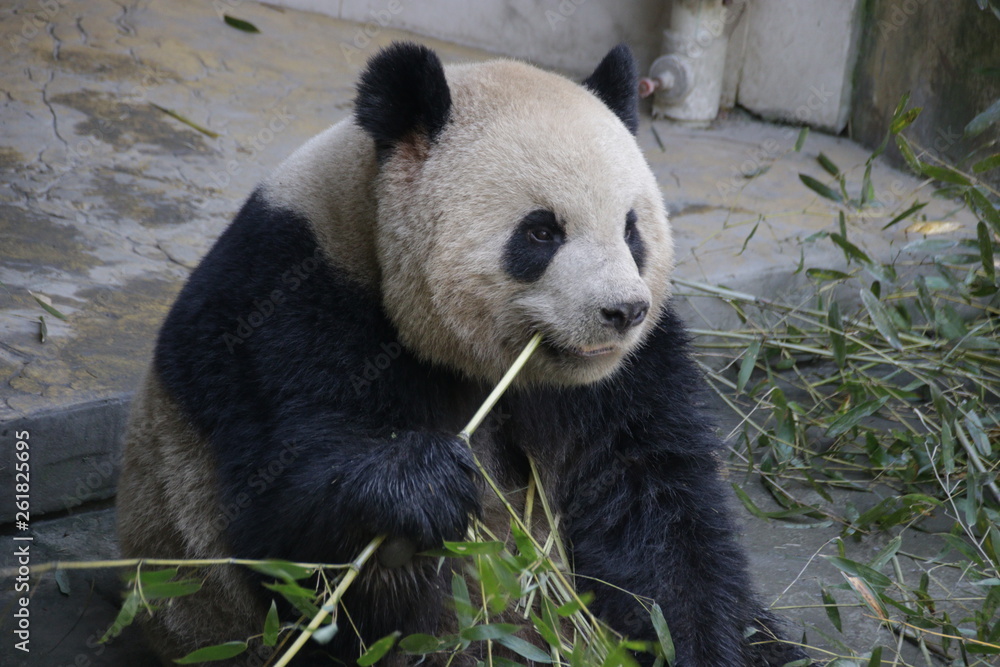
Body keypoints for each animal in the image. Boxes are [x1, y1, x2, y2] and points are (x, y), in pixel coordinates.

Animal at [116, 42, 810, 667]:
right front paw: (423, 483)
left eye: (632, 229)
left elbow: (653, 508)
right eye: (541, 231)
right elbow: (284, 518)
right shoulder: (284, 309)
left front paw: (695, 644)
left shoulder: (627, 373)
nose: (622, 312)